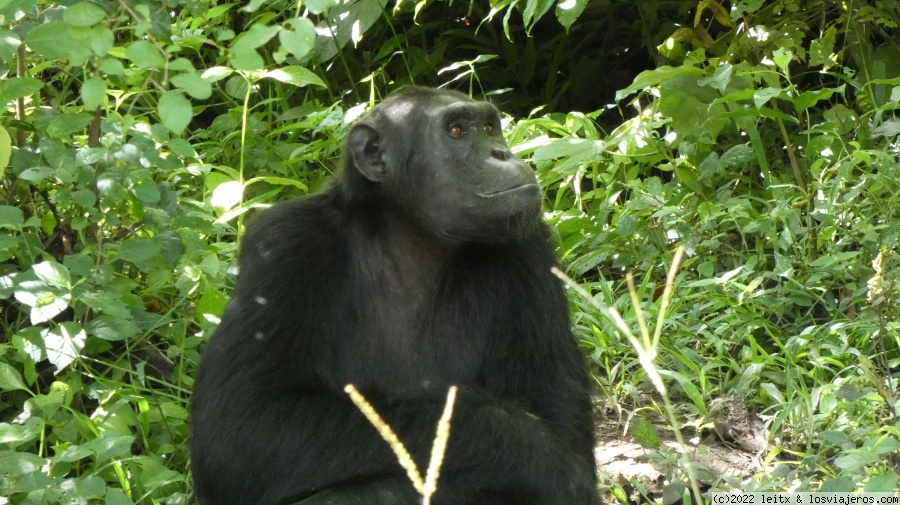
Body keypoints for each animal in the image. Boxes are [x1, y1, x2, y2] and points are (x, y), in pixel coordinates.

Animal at [190, 87, 596, 504]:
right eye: (456, 131)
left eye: (488, 128)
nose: (502, 152)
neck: (410, 241)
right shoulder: (283, 245)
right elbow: (244, 424)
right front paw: (534, 453)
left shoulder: (529, 250)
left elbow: (561, 418)